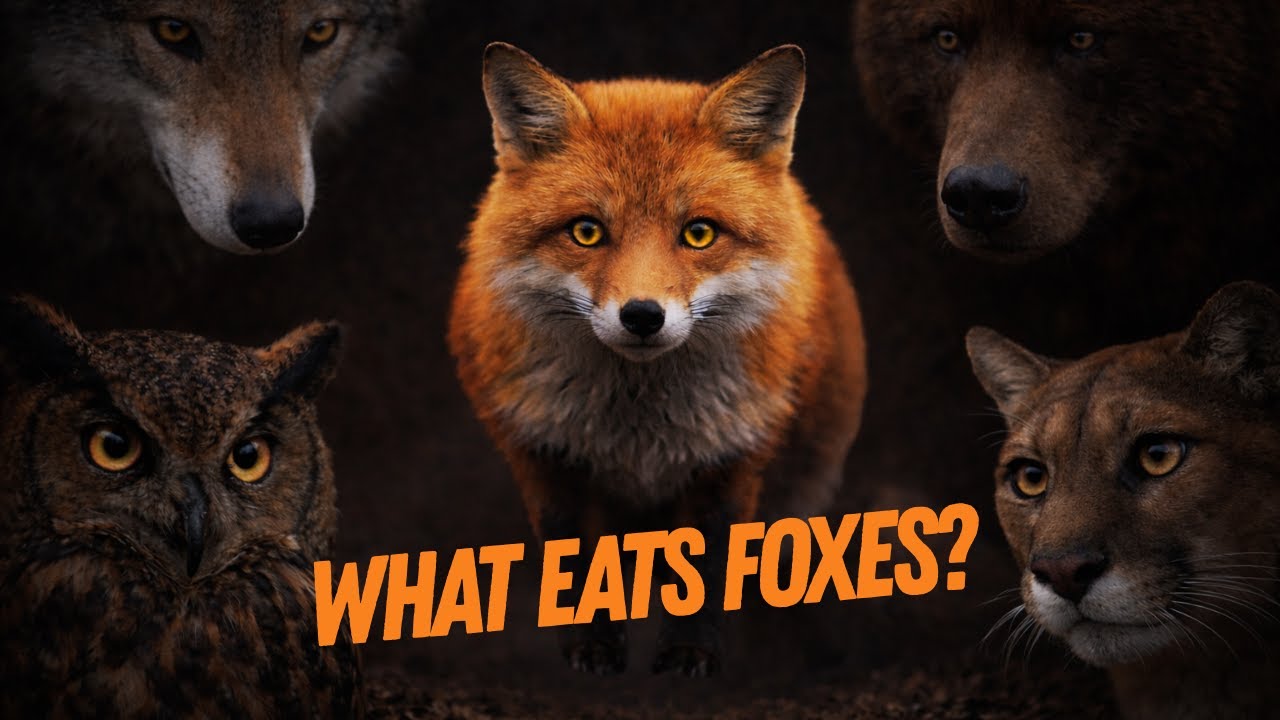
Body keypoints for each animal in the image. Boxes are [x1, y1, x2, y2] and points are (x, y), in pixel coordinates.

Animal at [448, 43, 868, 677]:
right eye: (587, 232)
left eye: (698, 233)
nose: (642, 316)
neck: (639, 433)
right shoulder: (545, 457)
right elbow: (577, 570)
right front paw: (591, 648)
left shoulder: (732, 457)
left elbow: (708, 572)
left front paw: (691, 653)